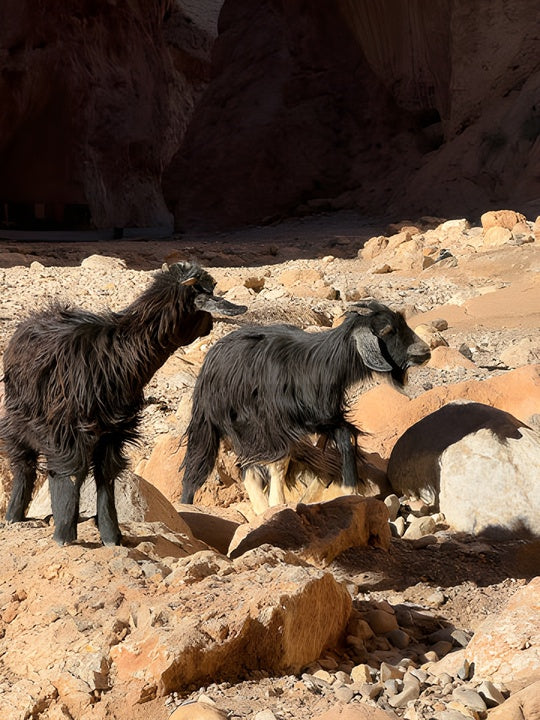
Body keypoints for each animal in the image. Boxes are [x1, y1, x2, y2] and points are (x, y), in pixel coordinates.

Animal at [1, 262, 246, 544]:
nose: (209, 328)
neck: (119, 356)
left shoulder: (114, 431)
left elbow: (106, 475)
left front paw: (111, 534)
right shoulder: (67, 428)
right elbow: (69, 472)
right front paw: (64, 534)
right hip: (20, 415)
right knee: (24, 460)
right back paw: (14, 515)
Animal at [181, 298, 430, 512]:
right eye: (387, 331)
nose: (425, 351)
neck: (316, 366)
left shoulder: (321, 417)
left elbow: (345, 439)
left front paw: (349, 490)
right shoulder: (270, 424)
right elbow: (278, 463)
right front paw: (277, 504)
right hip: (215, 423)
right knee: (202, 466)